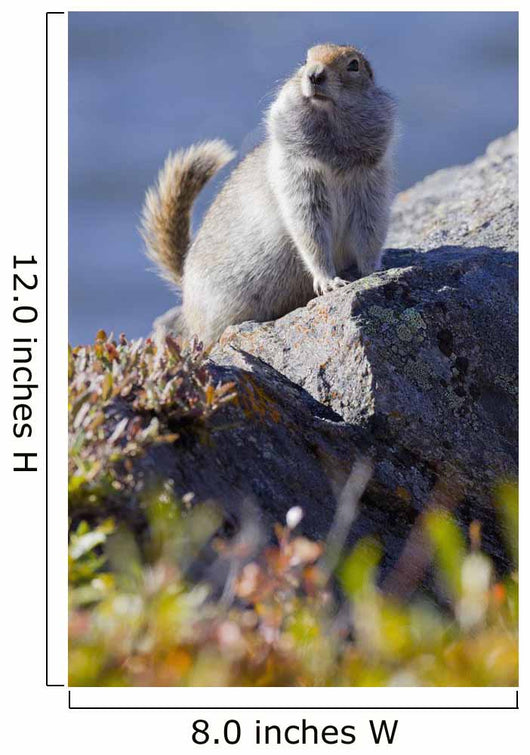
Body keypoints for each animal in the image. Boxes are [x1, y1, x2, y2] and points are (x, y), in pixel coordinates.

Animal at [141, 43, 396, 346]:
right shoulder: (299, 185)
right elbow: (311, 235)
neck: (331, 134)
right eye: (305, 59)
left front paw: (371, 270)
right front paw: (329, 281)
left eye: (353, 65)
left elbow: (370, 231)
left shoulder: (372, 187)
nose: (314, 75)